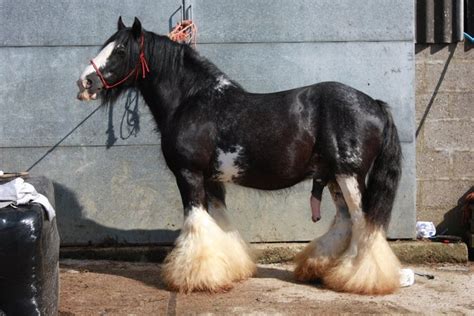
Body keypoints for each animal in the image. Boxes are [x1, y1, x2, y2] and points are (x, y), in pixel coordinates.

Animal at [78, 16, 404, 294]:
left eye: (120, 49)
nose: (84, 83)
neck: (192, 101)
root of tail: (375, 104)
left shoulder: (189, 173)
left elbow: (196, 222)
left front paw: (195, 277)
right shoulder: (211, 179)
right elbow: (220, 225)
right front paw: (230, 269)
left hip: (349, 175)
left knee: (363, 223)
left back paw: (361, 279)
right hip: (334, 176)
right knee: (347, 221)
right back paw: (322, 269)